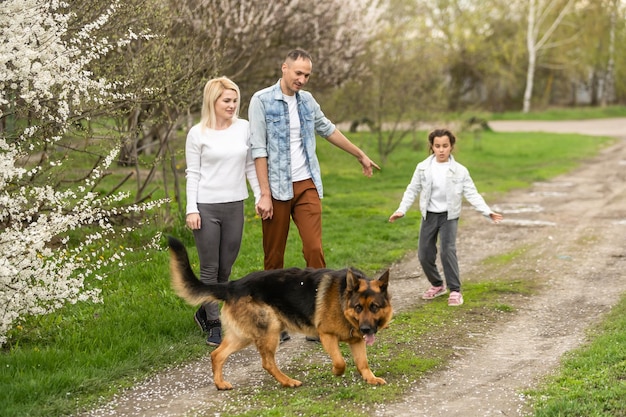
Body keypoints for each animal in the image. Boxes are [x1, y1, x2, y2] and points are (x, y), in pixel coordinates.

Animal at [166, 237, 390, 390]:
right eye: (359, 308)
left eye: (374, 307)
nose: (366, 329)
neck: (343, 301)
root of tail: (232, 285)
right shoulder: (326, 335)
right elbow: (340, 361)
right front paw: (336, 371)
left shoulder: (357, 341)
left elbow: (363, 362)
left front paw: (370, 378)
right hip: (270, 330)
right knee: (267, 362)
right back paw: (288, 381)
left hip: (242, 336)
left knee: (217, 355)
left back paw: (220, 384)